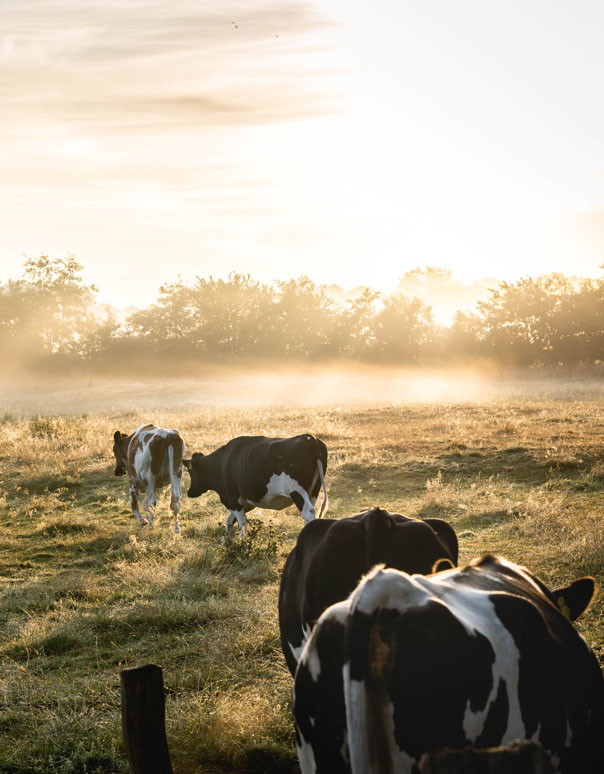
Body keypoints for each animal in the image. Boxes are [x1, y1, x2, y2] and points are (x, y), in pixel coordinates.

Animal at [183, 436, 328, 540]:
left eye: (191, 471)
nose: (189, 492)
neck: (223, 463)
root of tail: (309, 438)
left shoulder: (233, 499)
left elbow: (242, 524)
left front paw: (243, 544)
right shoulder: (246, 502)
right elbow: (230, 519)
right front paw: (226, 540)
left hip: (297, 491)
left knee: (309, 512)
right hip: (313, 491)